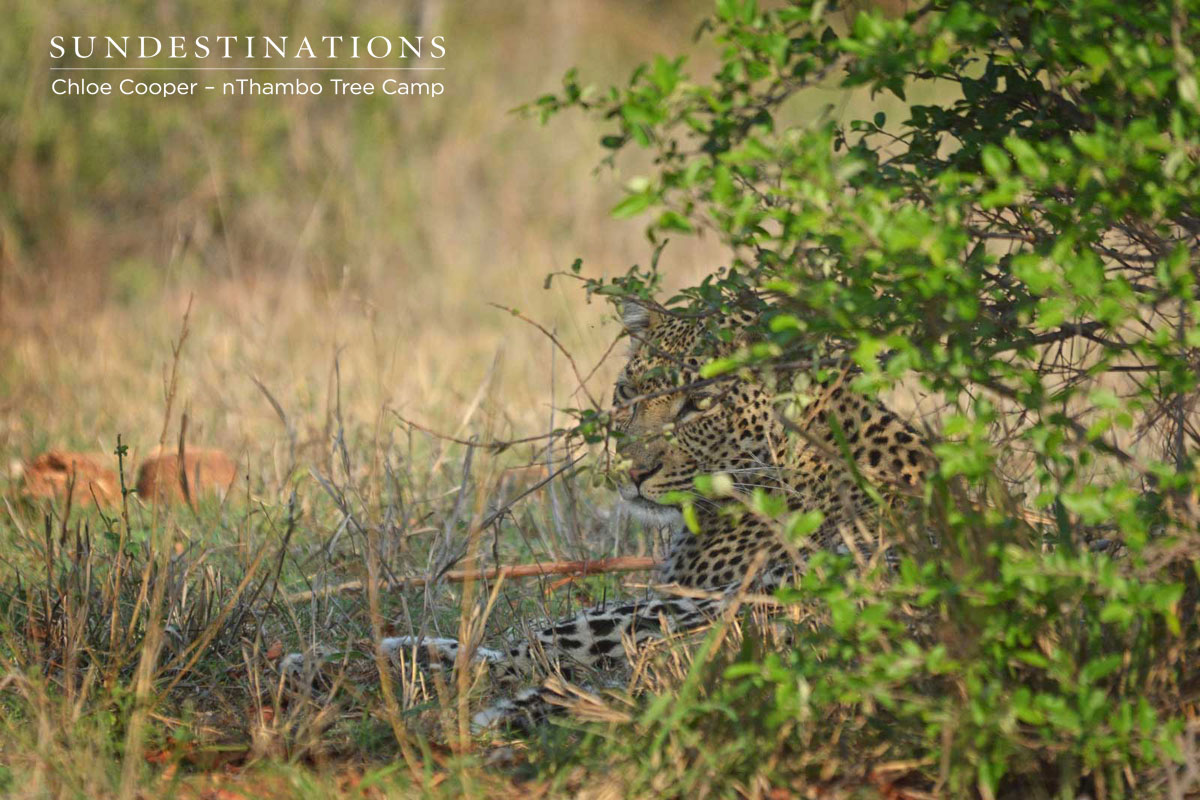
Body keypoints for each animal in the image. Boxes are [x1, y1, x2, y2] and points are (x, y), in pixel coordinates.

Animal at [282, 301, 935, 731]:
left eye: (700, 402)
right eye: (629, 391)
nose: (632, 469)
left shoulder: (690, 593)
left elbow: (532, 639)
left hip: (725, 605)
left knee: (540, 648)